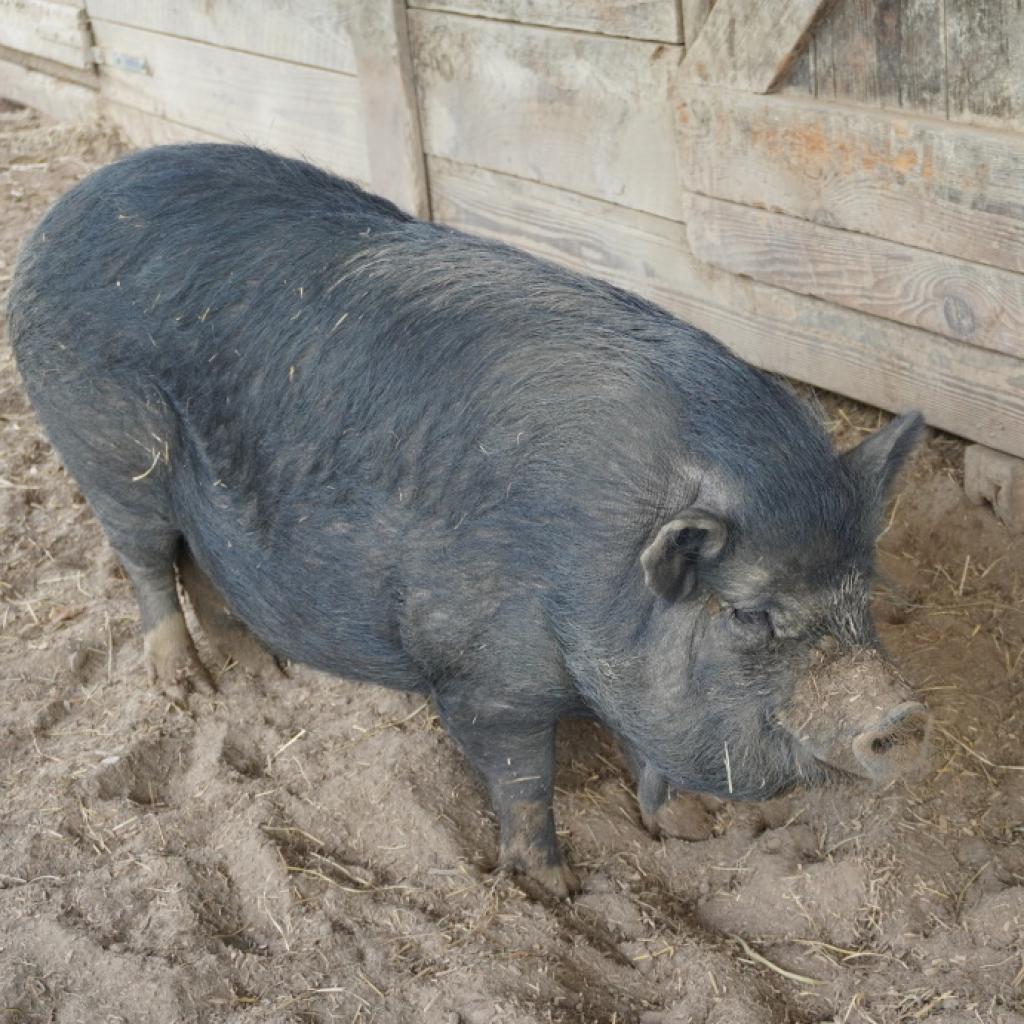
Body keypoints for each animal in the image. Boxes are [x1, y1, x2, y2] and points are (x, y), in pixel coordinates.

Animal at [8, 144, 930, 897]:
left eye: (863, 592)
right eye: (747, 613)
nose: (901, 716)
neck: (588, 570)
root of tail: (61, 213)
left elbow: (649, 753)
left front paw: (691, 829)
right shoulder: (483, 678)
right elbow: (524, 780)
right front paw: (553, 889)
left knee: (195, 559)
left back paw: (256, 668)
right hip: (105, 448)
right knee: (143, 559)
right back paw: (187, 684)